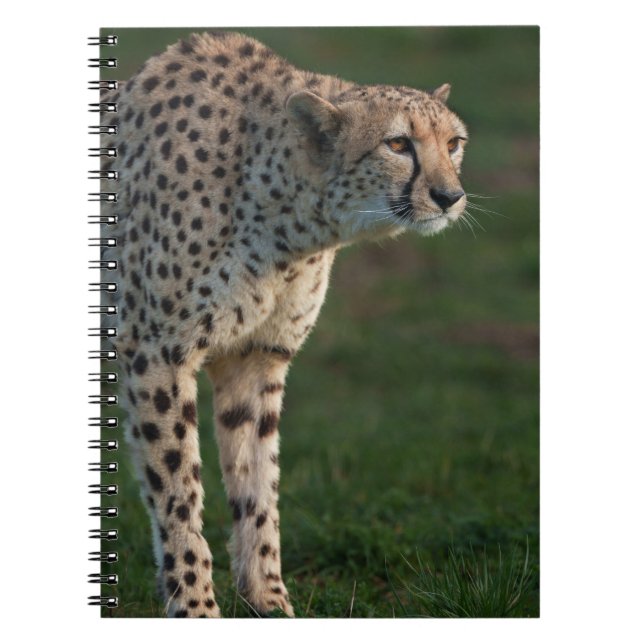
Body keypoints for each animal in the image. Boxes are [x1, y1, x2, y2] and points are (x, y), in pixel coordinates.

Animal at [99, 31, 468, 617]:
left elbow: (257, 481)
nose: (449, 197)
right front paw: (194, 606)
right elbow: (179, 487)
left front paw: (267, 598)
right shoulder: (156, 354)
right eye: (397, 144)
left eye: (453, 143)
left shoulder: (255, 356)